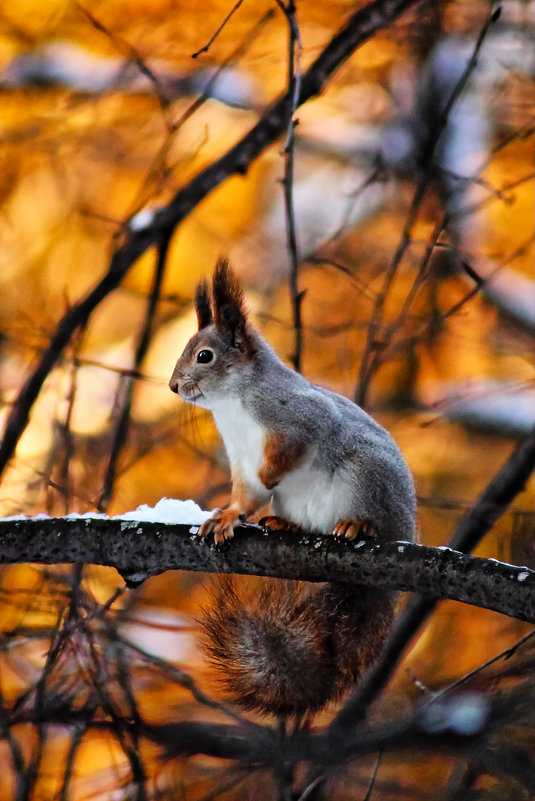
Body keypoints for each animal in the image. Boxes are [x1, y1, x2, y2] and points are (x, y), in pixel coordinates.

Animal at [169, 260, 418, 716]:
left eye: (204, 355)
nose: (174, 386)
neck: (233, 404)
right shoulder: (240, 458)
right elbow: (246, 494)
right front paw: (227, 516)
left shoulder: (301, 419)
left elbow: (292, 450)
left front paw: (271, 475)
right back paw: (288, 526)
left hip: (364, 478)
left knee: (371, 520)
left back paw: (359, 526)